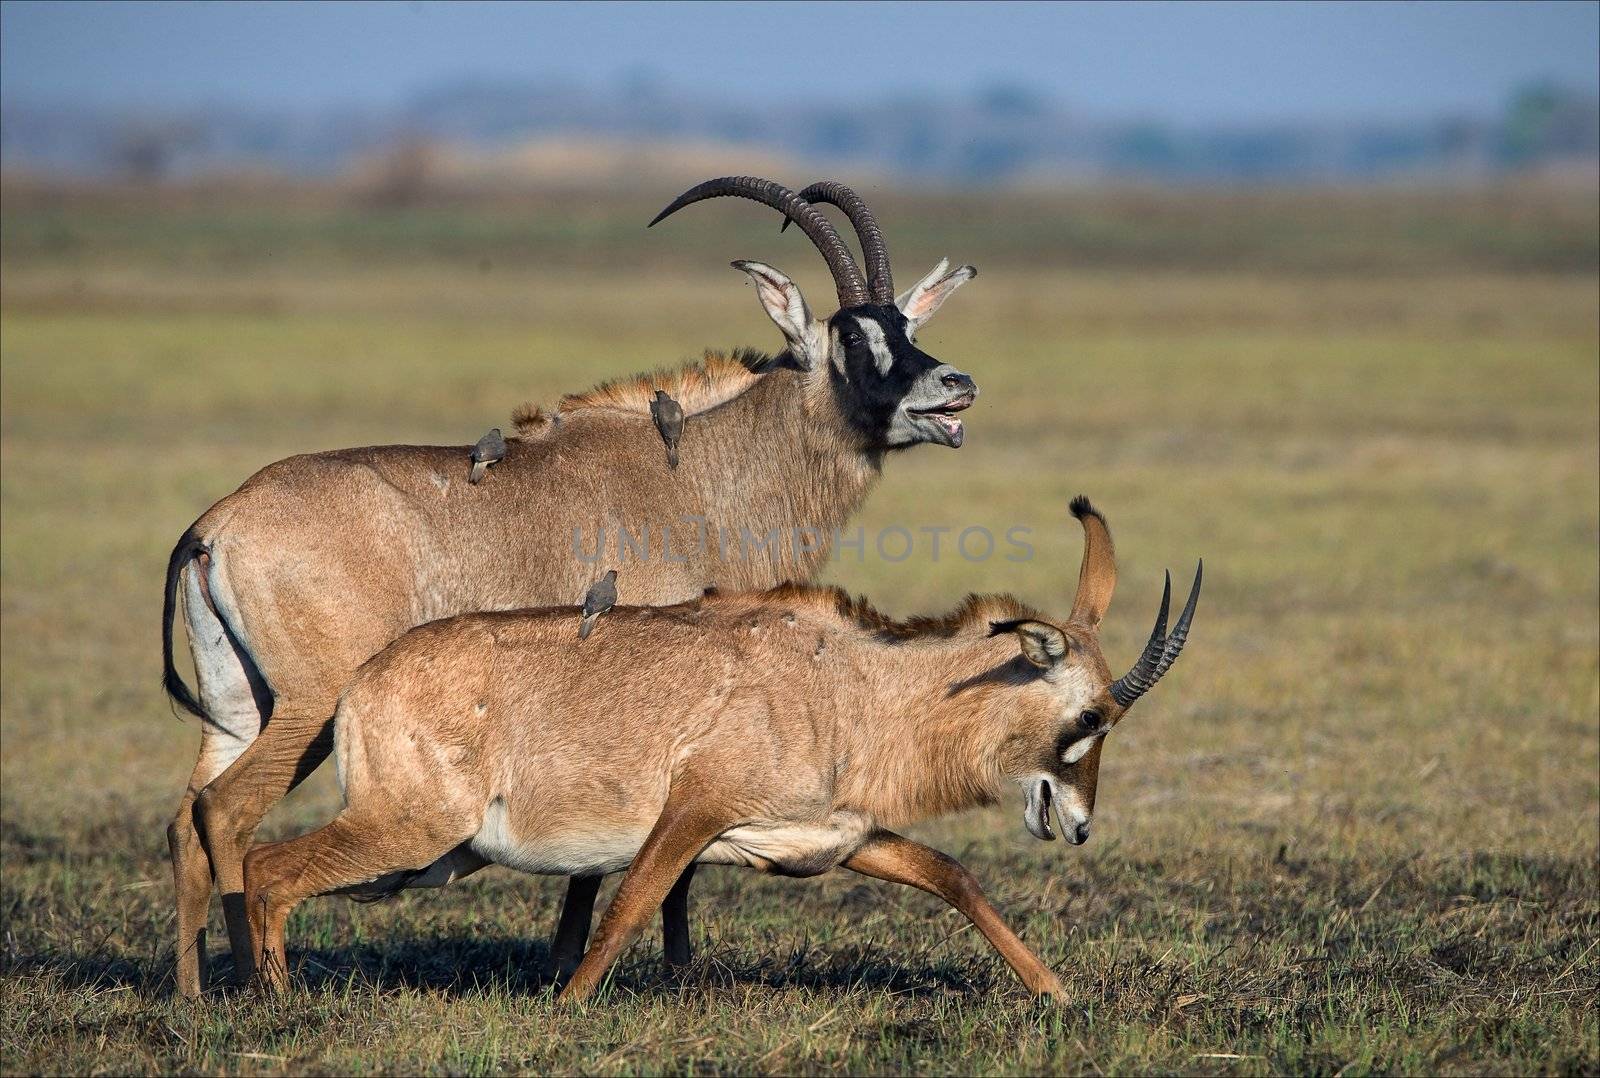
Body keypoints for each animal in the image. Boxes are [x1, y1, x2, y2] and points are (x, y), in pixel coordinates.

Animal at [165, 175, 985, 991]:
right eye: (853, 336)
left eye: (906, 325)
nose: (958, 384)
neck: (702, 470)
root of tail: (219, 521)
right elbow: (650, 852)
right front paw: (654, 968)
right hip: (308, 707)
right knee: (229, 809)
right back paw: (252, 985)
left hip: (238, 708)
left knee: (188, 819)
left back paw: (196, 993)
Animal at [243, 499, 1203, 998]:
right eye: (1090, 719)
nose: (1079, 826)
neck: (850, 687)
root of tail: (365, 681)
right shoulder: (695, 810)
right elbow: (632, 904)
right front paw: (568, 1005)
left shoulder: (836, 838)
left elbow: (953, 878)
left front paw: (1055, 992)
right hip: (412, 834)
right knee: (268, 869)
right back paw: (277, 1003)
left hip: (428, 858)